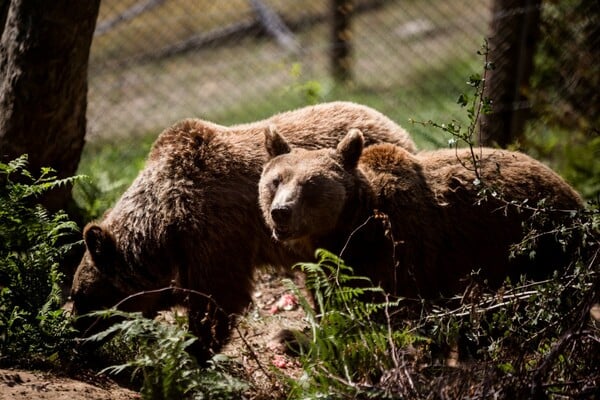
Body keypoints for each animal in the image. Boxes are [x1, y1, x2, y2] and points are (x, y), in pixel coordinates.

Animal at [68, 100, 418, 360]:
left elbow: (218, 297)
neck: (167, 220)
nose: (75, 338)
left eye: (81, 295)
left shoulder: (215, 231)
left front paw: (195, 349)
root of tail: (392, 124)